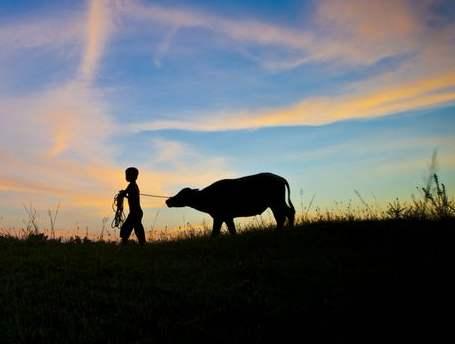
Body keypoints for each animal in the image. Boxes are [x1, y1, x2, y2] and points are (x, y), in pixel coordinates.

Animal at [167, 172, 296, 236]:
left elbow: (217, 232)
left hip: (276, 201)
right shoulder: (225, 217)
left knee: (287, 213)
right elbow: (229, 230)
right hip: (275, 203)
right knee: (282, 215)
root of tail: (280, 178)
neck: (207, 196)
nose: (168, 201)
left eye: (182, 194)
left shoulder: (221, 216)